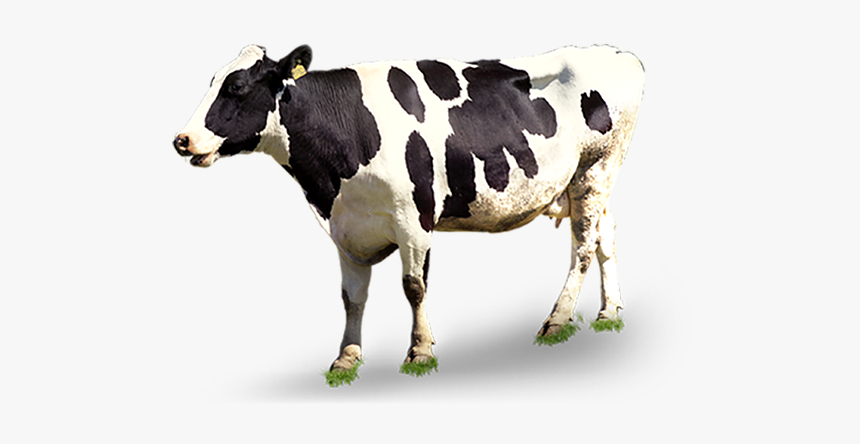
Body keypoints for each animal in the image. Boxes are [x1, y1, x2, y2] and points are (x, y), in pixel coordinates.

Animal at [173, 44, 645, 385]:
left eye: (236, 87)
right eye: (212, 81)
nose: (182, 139)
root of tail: (617, 52)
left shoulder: (413, 219)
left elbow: (414, 287)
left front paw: (420, 351)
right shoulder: (346, 227)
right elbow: (352, 298)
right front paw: (347, 357)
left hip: (595, 168)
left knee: (582, 247)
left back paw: (557, 320)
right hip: (587, 182)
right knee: (605, 234)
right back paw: (609, 311)